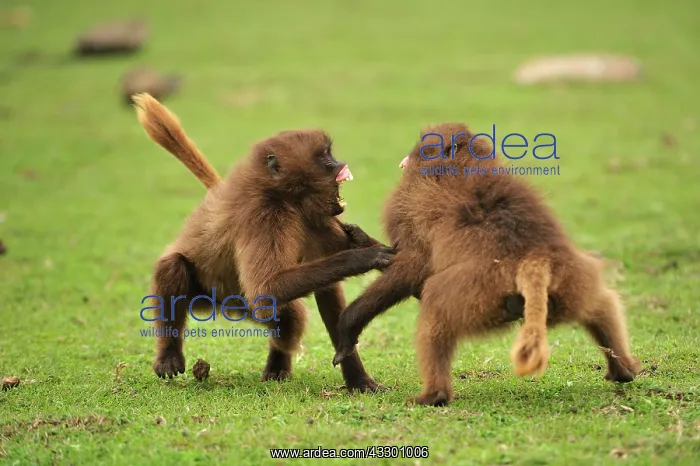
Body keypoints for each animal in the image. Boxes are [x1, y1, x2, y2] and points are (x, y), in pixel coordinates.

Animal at [132, 93, 394, 392]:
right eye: (325, 155)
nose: (340, 164)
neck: (283, 197)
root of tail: (224, 305)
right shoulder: (264, 217)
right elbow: (265, 287)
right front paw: (363, 257)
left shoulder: (314, 216)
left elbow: (324, 291)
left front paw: (358, 377)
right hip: (204, 295)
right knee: (173, 266)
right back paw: (169, 354)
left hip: (244, 305)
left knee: (286, 315)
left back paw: (277, 367)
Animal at [332, 122, 641, 406]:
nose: (406, 158)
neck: (460, 162)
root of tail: (535, 259)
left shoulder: (409, 201)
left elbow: (412, 266)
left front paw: (348, 324)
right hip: (570, 280)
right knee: (601, 304)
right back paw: (623, 368)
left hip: (478, 290)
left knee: (436, 301)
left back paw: (434, 396)